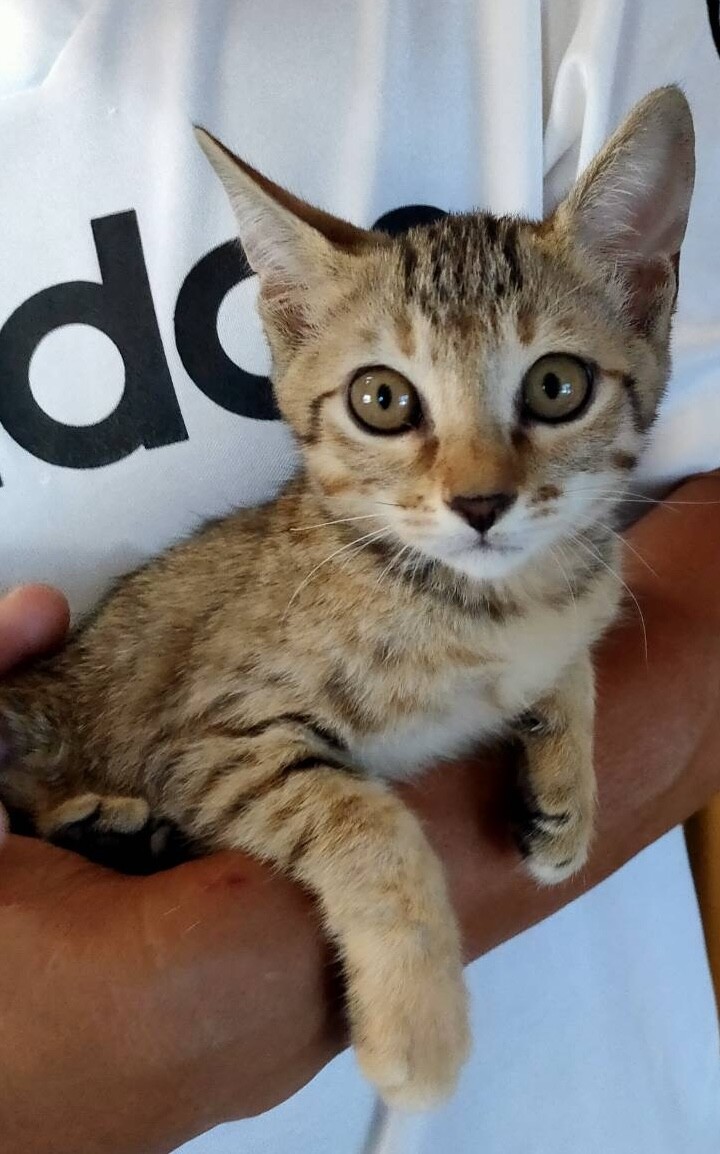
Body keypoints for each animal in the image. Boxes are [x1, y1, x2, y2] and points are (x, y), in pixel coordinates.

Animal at [0, 86, 694, 1108]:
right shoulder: (209, 740)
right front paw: (417, 1025)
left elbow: (572, 656)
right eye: (382, 399)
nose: (479, 503)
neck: (485, 605)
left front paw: (564, 780)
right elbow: (366, 818)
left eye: (556, 385)